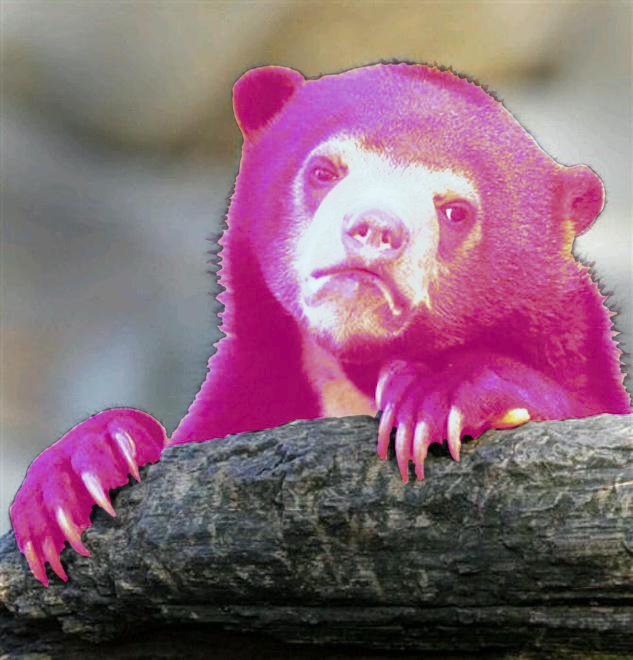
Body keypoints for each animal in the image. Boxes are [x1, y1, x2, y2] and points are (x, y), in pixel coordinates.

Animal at [10, 62, 632, 586]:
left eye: (456, 211)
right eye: (324, 171)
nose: (375, 229)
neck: (351, 370)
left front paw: (435, 396)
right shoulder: (255, 387)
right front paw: (74, 477)